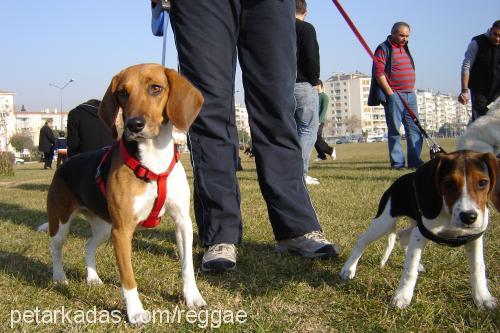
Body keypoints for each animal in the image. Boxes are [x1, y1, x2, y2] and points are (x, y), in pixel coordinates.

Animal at [38, 63, 207, 322]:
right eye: (122, 93)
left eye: (156, 88)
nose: (134, 124)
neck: (153, 162)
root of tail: (66, 163)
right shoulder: (123, 231)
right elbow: (128, 278)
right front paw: (136, 312)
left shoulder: (182, 222)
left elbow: (187, 266)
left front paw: (192, 298)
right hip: (63, 223)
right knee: (55, 248)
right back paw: (59, 278)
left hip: (103, 227)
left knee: (88, 245)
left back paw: (92, 278)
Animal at [338, 150, 498, 308]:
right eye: (449, 184)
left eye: (483, 183)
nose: (469, 217)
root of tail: (398, 182)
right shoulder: (420, 233)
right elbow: (410, 269)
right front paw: (402, 296)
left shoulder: (474, 237)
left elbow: (478, 267)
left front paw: (483, 298)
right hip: (384, 223)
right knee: (362, 241)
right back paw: (348, 269)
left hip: (413, 225)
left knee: (402, 235)